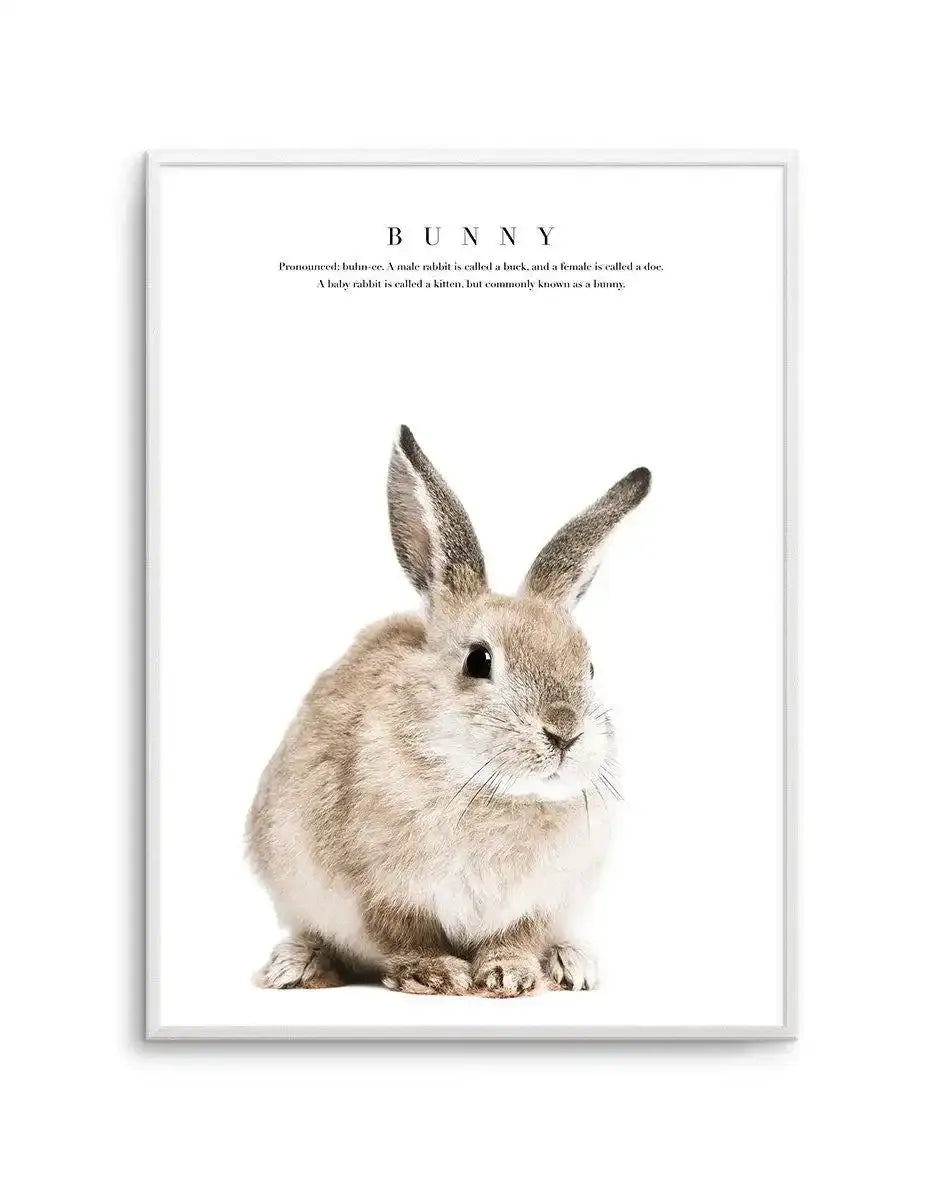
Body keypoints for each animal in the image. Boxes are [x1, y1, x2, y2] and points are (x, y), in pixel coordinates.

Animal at [246, 425, 650, 996]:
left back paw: (571, 964)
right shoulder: (379, 891)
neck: (493, 791)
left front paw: (511, 975)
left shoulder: (539, 901)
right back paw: (296, 966)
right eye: (479, 660)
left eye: (589, 667)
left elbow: (518, 937)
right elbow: (404, 935)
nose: (564, 732)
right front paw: (436, 974)